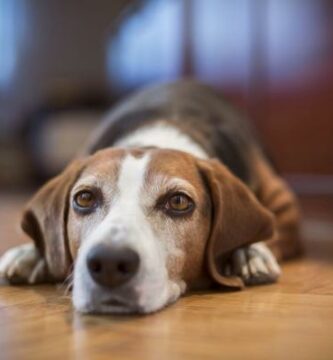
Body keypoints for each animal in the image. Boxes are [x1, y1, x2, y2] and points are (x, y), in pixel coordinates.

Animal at [0, 81, 300, 312]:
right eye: (84, 198)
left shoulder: (283, 204)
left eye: (179, 202)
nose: (109, 263)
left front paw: (249, 252)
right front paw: (30, 254)